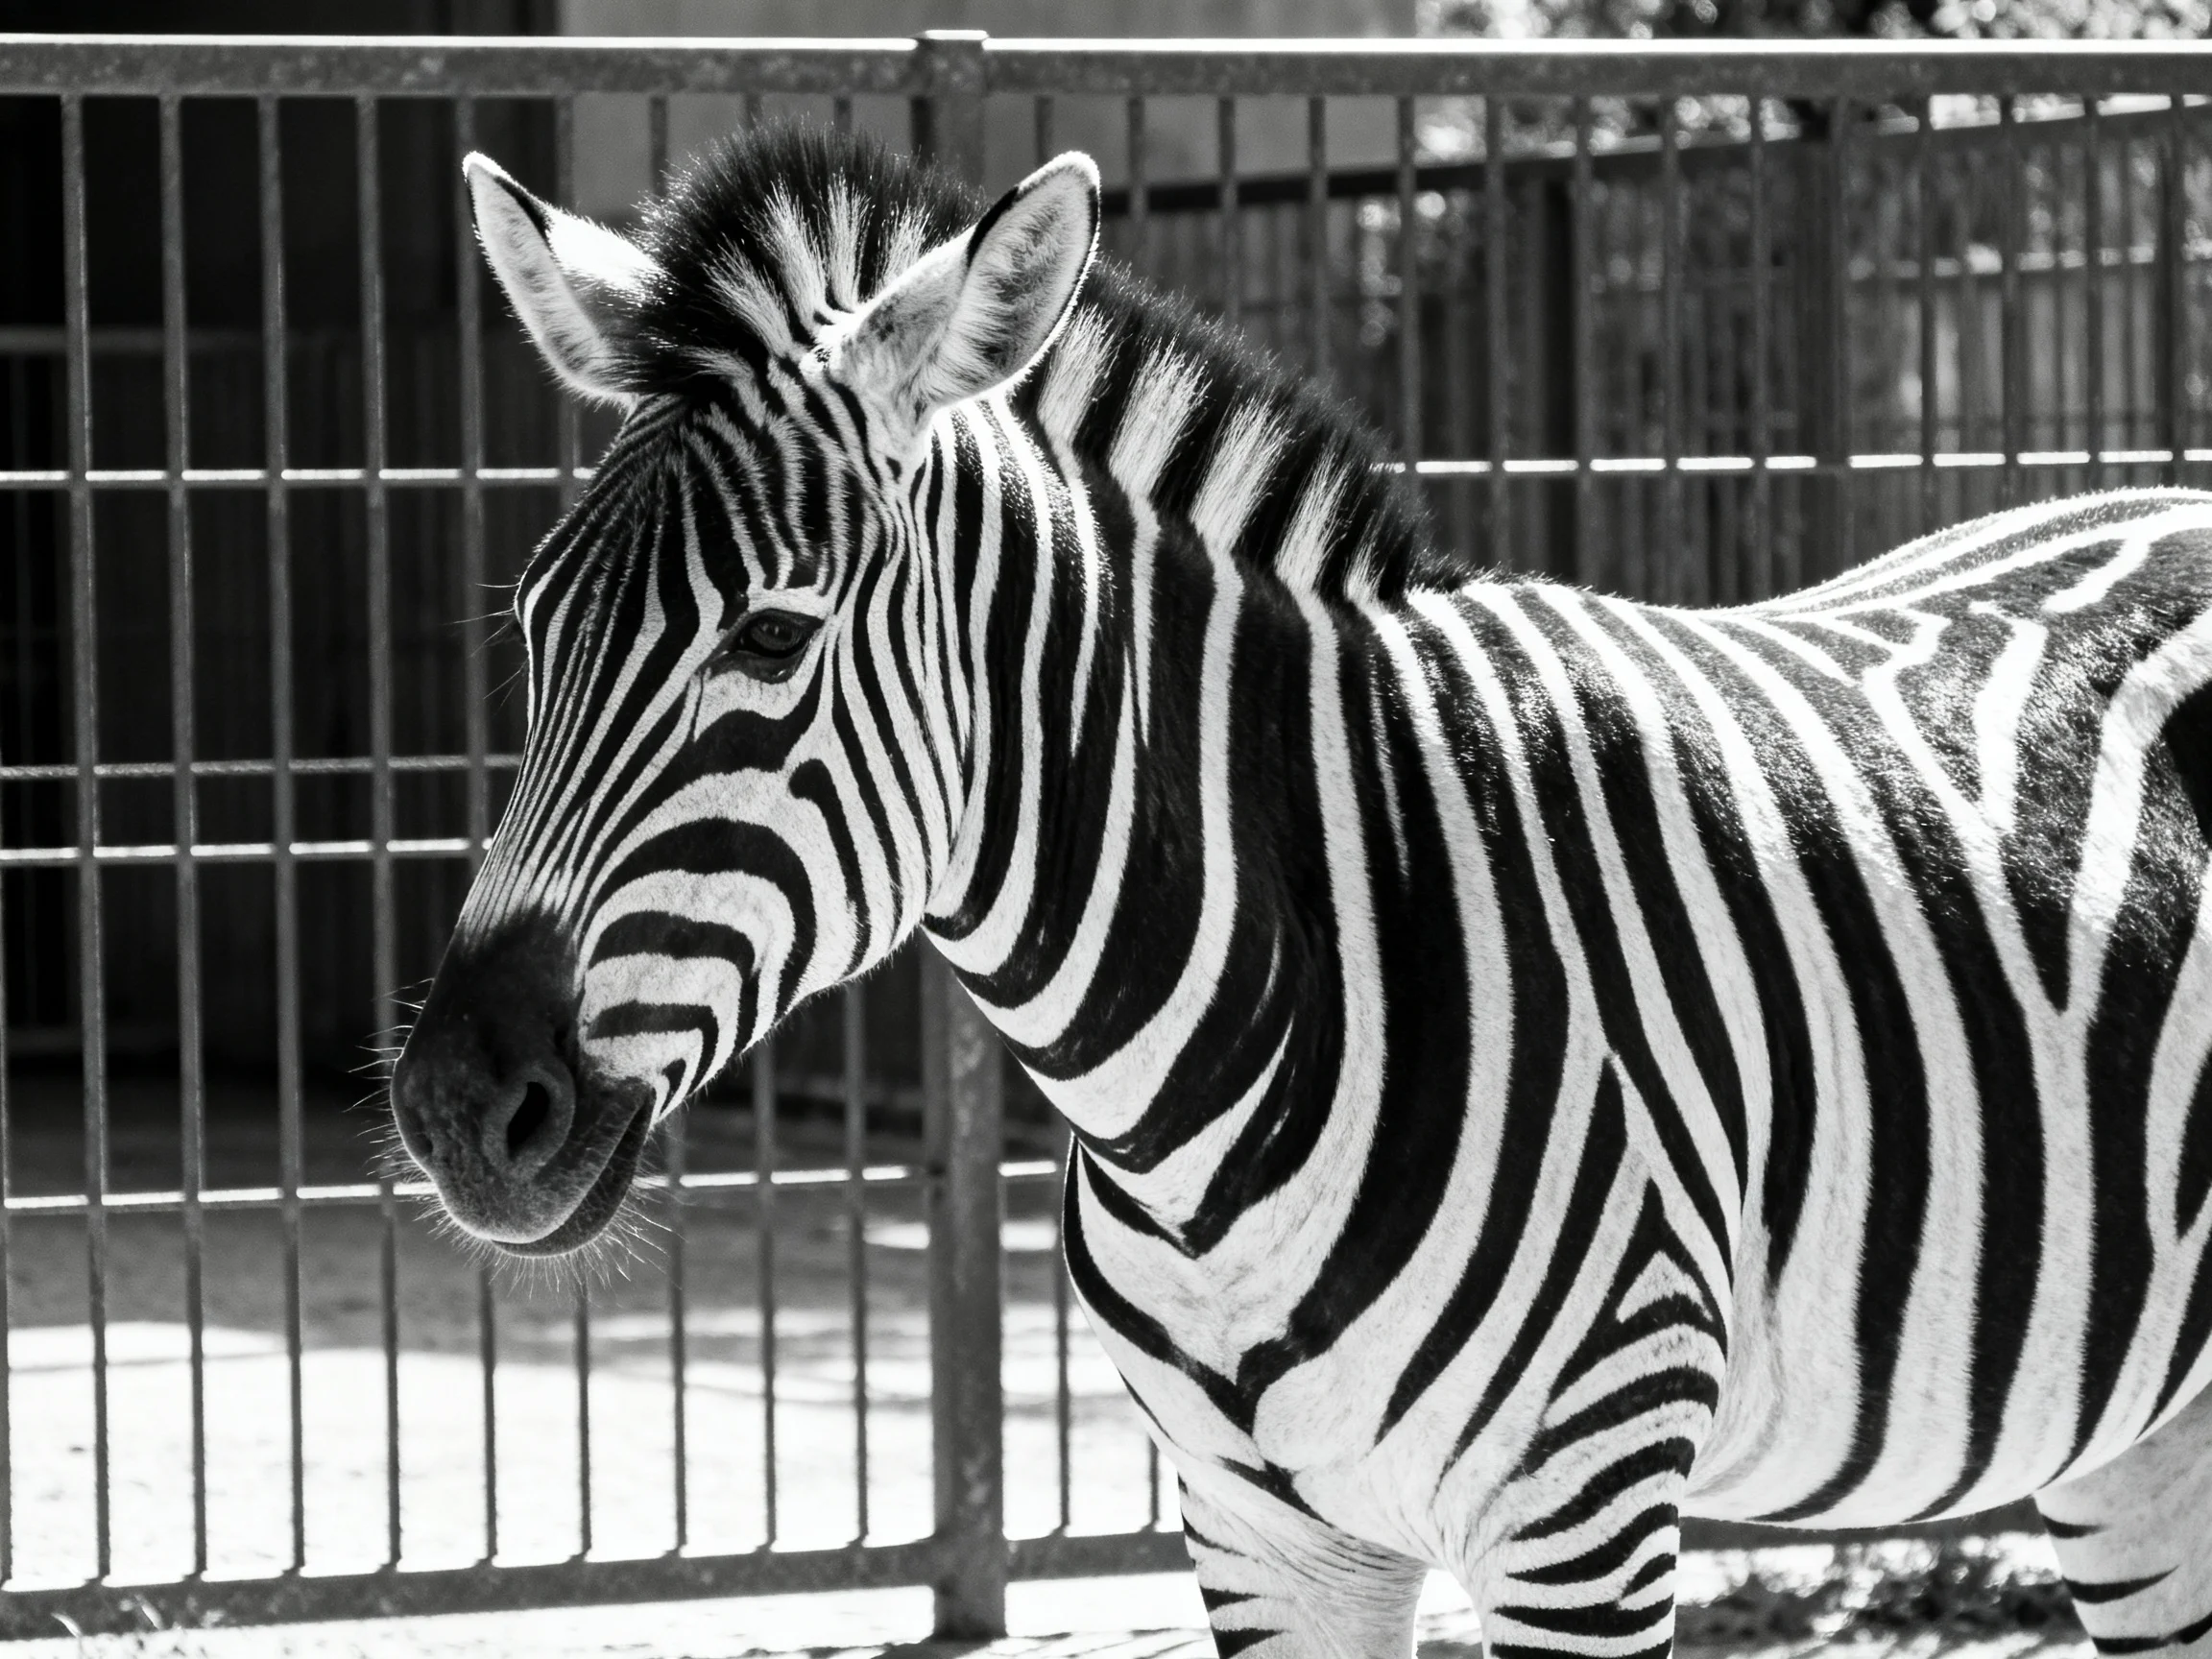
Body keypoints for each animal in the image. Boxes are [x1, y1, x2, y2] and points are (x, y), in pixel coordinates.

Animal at [391, 120, 2212, 1658]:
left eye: (771, 637)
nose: (460, 1105)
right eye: (535, 624)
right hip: (2144, 1437)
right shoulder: (1260, 1536)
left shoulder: (1585, 1506)